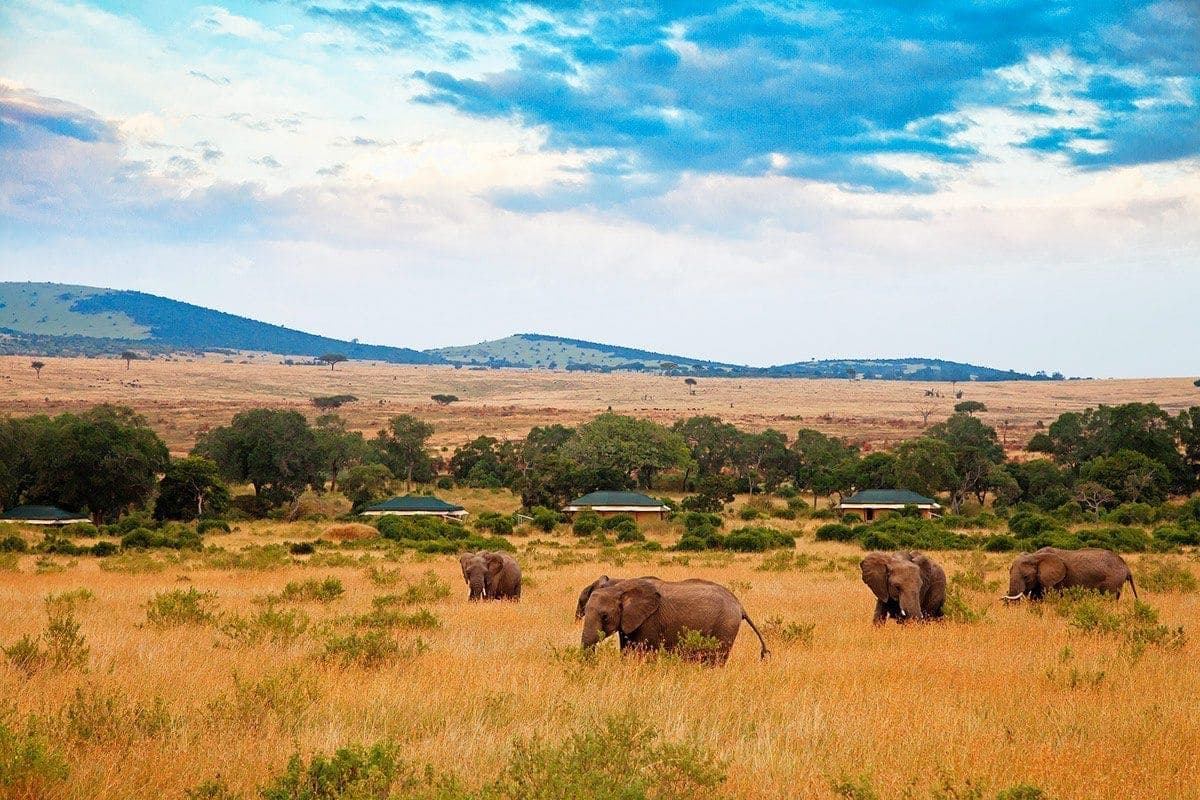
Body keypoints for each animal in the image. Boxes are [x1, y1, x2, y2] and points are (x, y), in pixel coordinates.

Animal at [579, 577, 769, 664]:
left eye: (604, 616)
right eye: (583, 611)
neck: (621, 586)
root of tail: (740, 605)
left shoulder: (649, 621)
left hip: (725, 625)